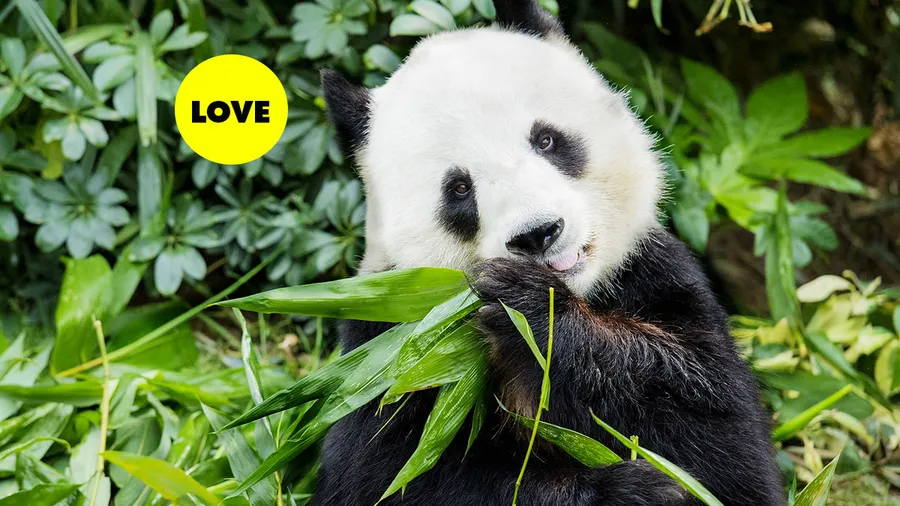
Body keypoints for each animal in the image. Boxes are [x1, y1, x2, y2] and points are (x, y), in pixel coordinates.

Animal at [311, 1, 785, 505]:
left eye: (546, 140)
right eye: (458, 188)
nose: (537, 234)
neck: (580, 289)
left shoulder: (656, 278)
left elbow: (720, 439)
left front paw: (529, 308)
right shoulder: (389, 344)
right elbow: (384, 474)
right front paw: (629, 490)